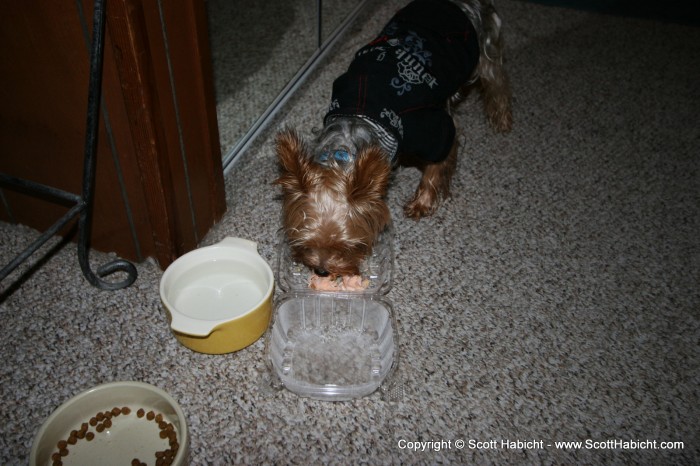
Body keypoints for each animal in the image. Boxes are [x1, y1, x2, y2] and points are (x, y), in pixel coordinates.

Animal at [276, 0, 512, 276]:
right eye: (305, 242)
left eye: (348, 247)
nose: (322, 271)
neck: (346, 145)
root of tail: (460, 3)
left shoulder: (431, 130)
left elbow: (440, 159)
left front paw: (423, 201)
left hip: (483, 48)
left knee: (497, 80)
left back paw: (502, 119)